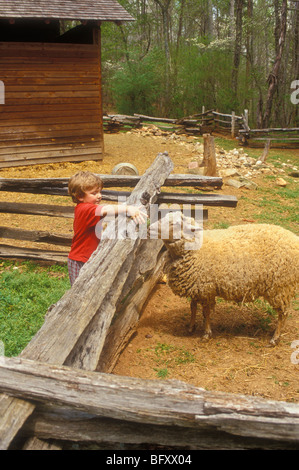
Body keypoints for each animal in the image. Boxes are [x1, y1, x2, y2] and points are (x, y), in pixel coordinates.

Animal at [150, 213, 299, 346]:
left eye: (174, 224)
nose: (150, 227)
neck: (196, 250)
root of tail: (294, 240)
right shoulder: (196, 285)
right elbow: (192, 307)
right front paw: (191, 327)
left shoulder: (206, 289)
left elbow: (206, 312)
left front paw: (206, 334)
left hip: (281, 288)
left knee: (283, 314)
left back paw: (275, 339)